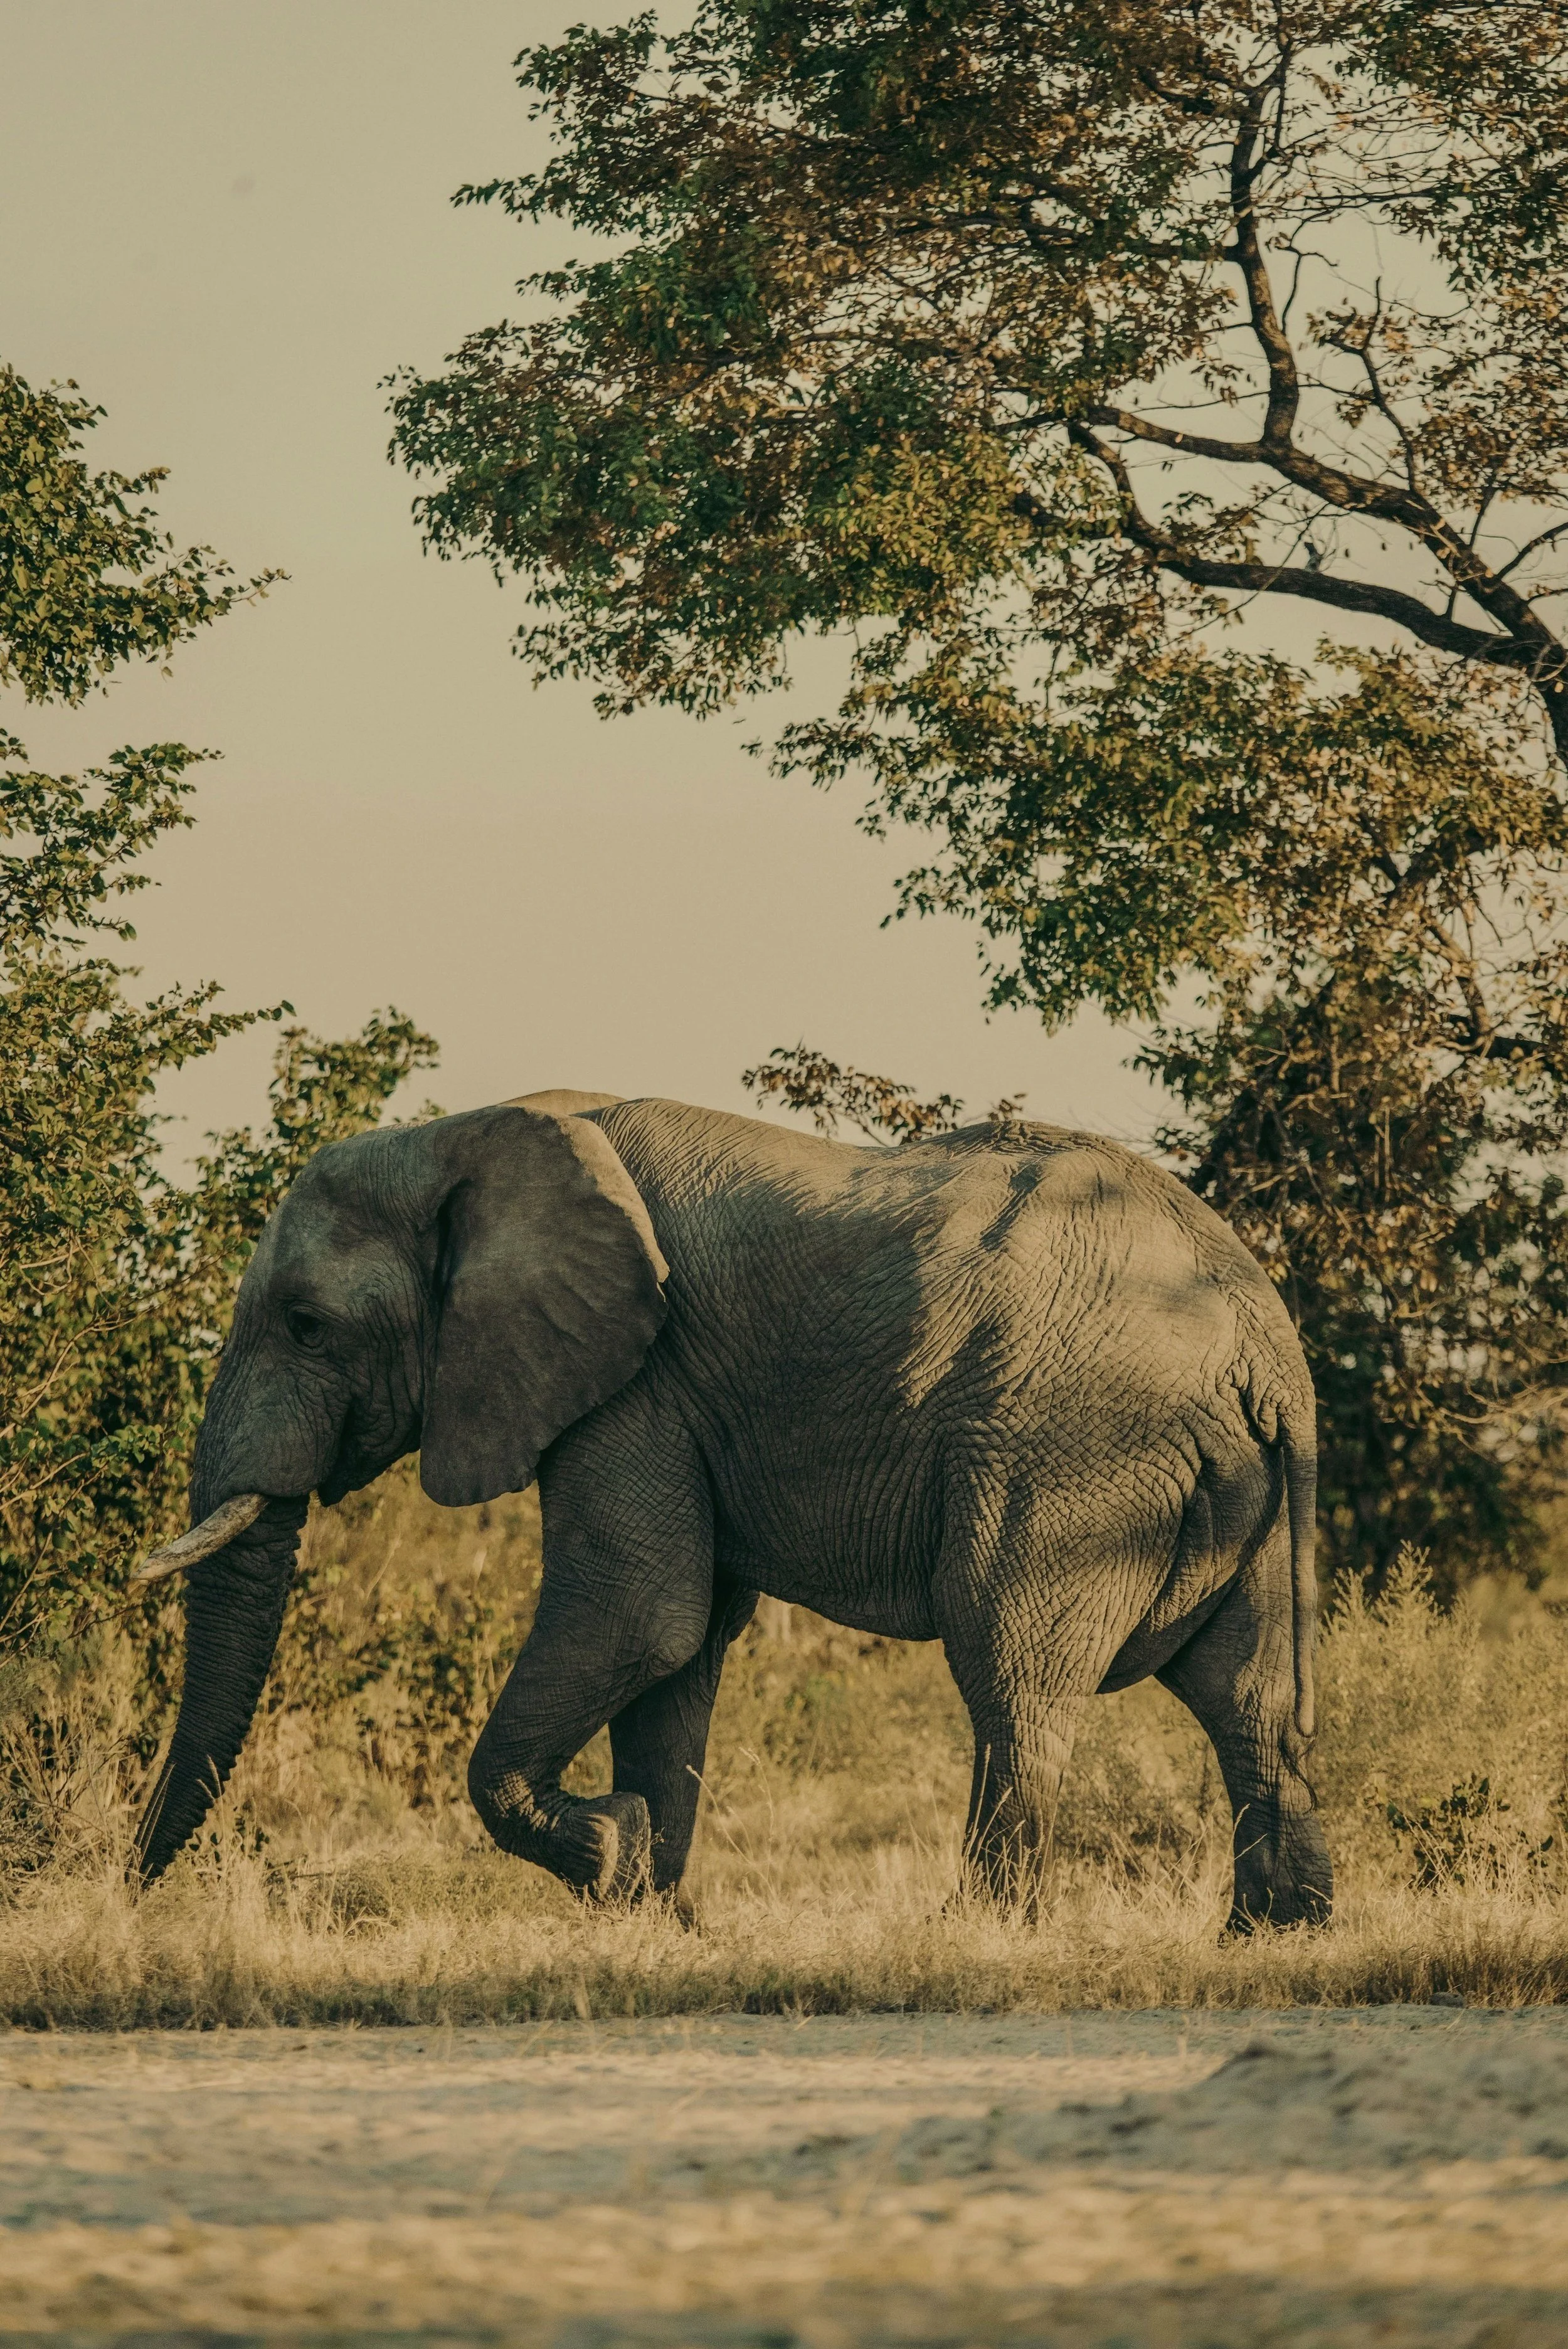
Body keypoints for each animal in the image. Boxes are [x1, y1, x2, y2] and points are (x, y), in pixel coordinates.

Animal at [132, 1090, 1332, 1929]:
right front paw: (652, 1915)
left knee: (1012, 1671)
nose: (133, 1897)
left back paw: (979, 1936)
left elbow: (639, 1614)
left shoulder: (637, 1381)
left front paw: (610, 1855)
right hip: (1238, 1485)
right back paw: (1273, 1939)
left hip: (1068, 1445)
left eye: (305, 1326)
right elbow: (680, 1652)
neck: (463, 1136)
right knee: (1249, 1696)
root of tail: (1260, 1340)